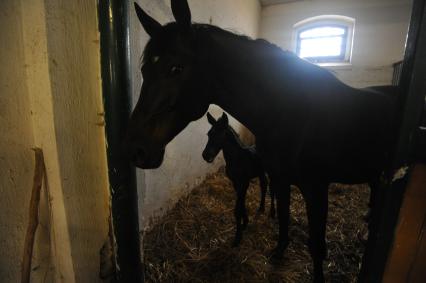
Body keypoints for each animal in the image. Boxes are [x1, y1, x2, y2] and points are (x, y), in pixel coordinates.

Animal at [125, 1, 398, 282]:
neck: (291, 112)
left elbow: (317, 244)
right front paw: (278, 252)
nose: (135, 149)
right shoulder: (280, 178)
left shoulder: (317, 188)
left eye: (176, 68)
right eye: (144, 70)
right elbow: (284, 219)